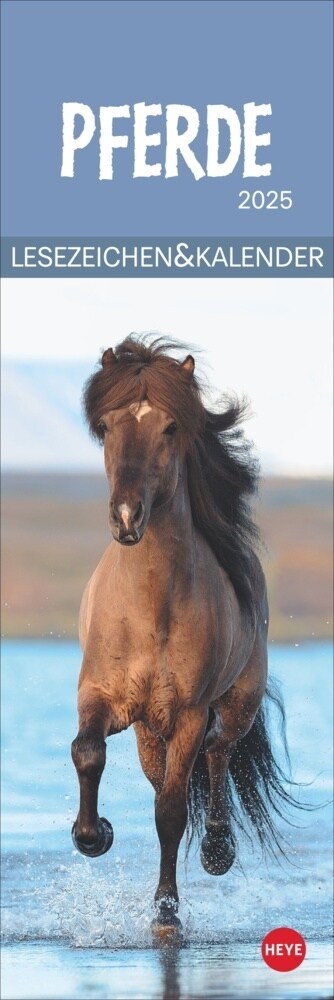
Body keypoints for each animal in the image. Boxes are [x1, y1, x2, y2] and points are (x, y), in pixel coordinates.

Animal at [71, 338, 292, 936]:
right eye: (106, 425)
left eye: (170, 428)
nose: (127, 517)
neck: (152, 609)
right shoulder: (102, 697)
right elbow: (87, 751)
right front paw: (93, 836)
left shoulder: (189, 710)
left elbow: (171, 811)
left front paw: (166, 913)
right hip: (150, 730)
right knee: (167, 773)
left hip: (232, 704)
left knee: (217, 754)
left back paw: (217, 850)